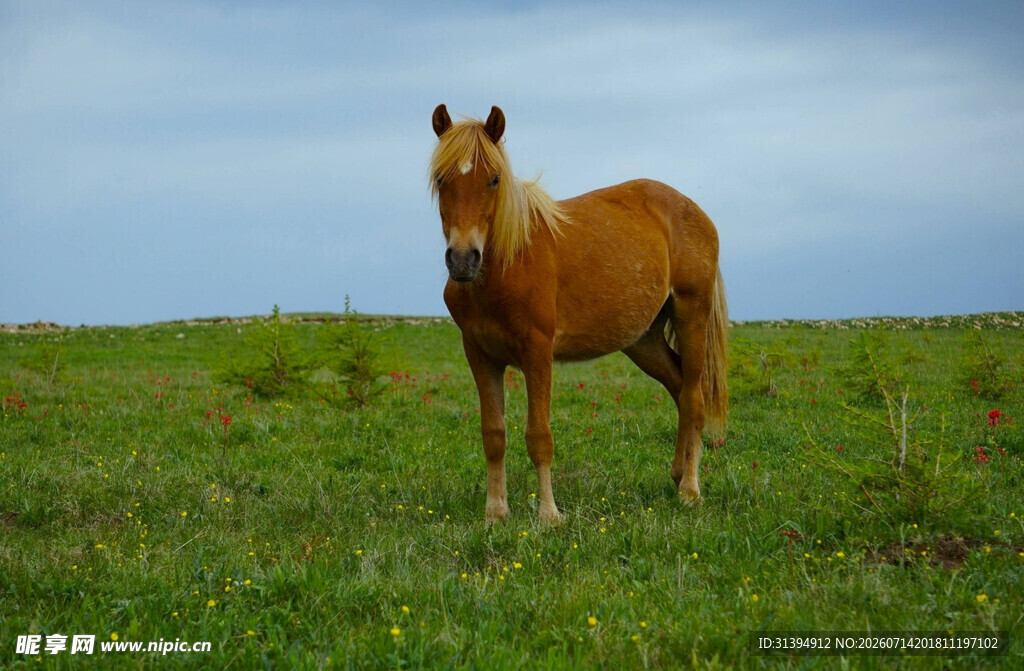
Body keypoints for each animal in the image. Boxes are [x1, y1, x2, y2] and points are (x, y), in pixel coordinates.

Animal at [430, 104, 727, 525]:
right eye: (442, 178)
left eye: (494, 179)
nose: (462, 259)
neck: (507, 264)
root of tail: (696, 212)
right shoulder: (480, 355)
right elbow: (494, 435)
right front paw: (495, 514)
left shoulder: (537, 353)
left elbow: (539, 436)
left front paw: (549, 516)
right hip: (643, 341)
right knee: (679, 388)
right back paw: (677, 474)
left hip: (692, 315)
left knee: (694, 398)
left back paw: (690, 489)